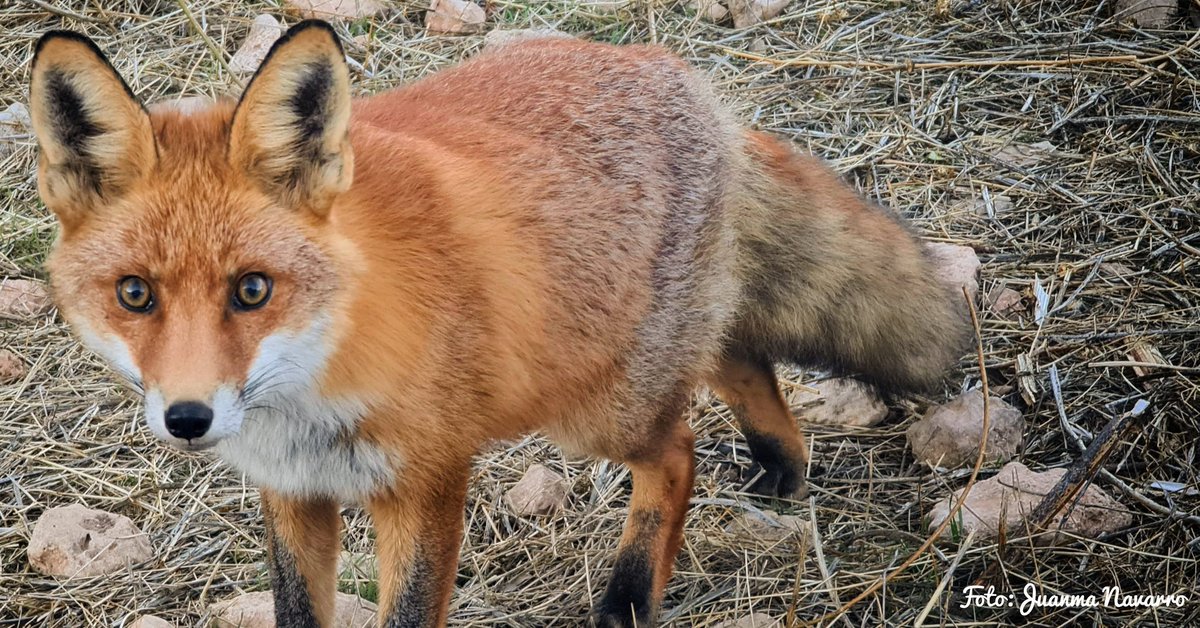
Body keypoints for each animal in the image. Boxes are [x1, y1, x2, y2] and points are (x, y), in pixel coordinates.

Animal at [29, 20, 966, 627]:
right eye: (135, 294)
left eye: (252, 290)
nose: (189, 418)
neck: (314, 384)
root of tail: (670, 67)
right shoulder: (293, 492)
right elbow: (299, 610)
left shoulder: (428, 485)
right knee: (738, 350)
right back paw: (781, 458)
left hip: (594, 408)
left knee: (679, 447)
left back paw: (630, 596)